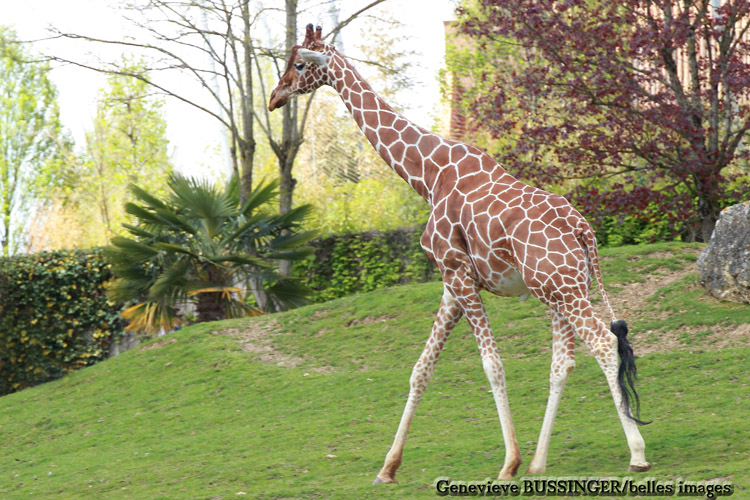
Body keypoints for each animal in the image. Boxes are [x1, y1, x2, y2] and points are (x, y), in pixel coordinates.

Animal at [270, 24, 652, 484]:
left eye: (299, 64)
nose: (274, 97)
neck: (427, 175)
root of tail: (584, 231)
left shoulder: (457, 273)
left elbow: (491, 364)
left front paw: (508, 463)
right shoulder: (451, 285)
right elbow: (421, 369)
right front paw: (387, 469)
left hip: (562, 289)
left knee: (603, 343)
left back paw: (636, 453)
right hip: (557, 289)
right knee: (564, 363)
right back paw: (540, 464)